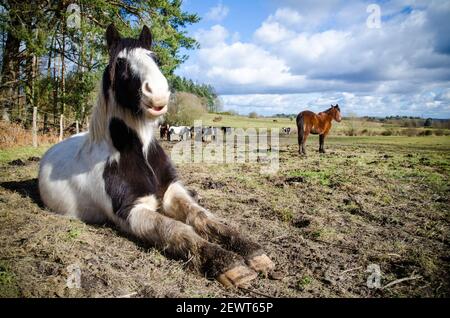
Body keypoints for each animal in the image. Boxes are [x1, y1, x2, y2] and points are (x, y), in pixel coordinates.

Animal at [38, 25, 272, 288]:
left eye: (155, 58)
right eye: (120, 63)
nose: (158, 93)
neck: (138, 155)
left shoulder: (172, 193)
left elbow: (204, 218)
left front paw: (251, 250)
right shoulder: (132, 211)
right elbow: (176, 229)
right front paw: (228, 263)